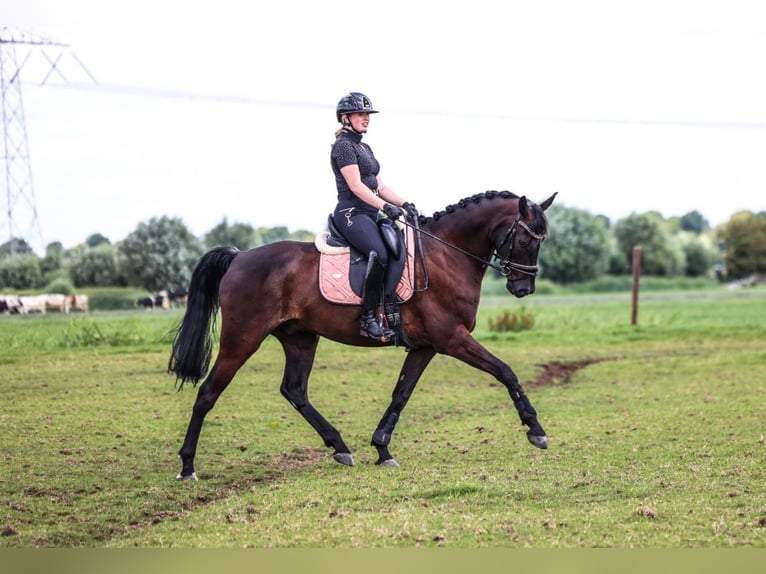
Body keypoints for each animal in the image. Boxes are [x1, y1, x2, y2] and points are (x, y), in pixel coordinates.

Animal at [169, 190, 557, 480]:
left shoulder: (426, 346)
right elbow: (505, 371)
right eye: (525, 238)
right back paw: (187, 465)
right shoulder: (452, 339)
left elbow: (401, 393)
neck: (445, 255)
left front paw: (382, 447)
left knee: (294, 391)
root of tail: (239, 257)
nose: (523, 288)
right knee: (207, 393)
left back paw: (340, 447)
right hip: (242, 339)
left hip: (300, 338)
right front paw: (535, 429)